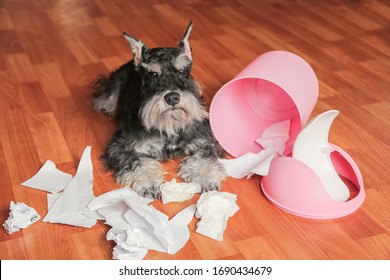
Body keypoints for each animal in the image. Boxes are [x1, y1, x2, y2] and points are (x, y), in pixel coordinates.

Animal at [91, 20, 225, 198]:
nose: (172, 98)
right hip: (113, 87)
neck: (169, 126)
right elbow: (138, 162)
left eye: (183, 71)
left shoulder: (204, 140)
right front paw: (149, 183)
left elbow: (204, 158)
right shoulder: (121, 147)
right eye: (152, 75)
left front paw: (206, 178)